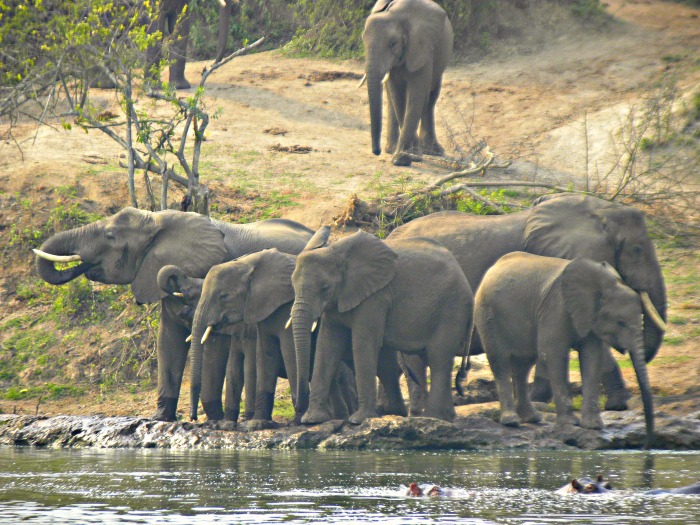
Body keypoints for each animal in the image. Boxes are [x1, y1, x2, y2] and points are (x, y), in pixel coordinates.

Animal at [32, 206, 312, 422]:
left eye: (110, 236)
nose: (83, 265)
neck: (157, 220)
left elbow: (213, 344)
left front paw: (213, 419)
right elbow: (168, 341)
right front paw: (160, 418)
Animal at [288, 227, 474, 424]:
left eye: (325, 288)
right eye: (293, 285)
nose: (298, 408)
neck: (337, 251)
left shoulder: (376, 296)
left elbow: (363, 344)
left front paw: (358, 420)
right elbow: (327, 346)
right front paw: (312, 420)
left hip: (452, 309)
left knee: (438, 357)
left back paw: (433, 417)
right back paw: (443, 417)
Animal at [360, 0, 454, 166]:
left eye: (393, 43)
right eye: (362, 40)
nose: (376, 152)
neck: (396, 16)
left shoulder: (422, 49)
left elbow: (417, 94)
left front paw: (402, 159)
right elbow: (397, 94)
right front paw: (411, 155)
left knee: (431, 97)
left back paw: (432, 151)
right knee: (393, 98)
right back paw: (394, 149)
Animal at [474, 251, 652, 446]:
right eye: (620, 323)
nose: (648, 440)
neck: (604, 284)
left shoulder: (590, 318)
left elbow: (592, 358)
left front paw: (594, 426)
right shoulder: (556, 308)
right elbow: (555, 355)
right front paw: (570, 424)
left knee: (523, 366)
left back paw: (532, 418)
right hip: (488, 315)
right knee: (500, 362)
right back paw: (511, 422)